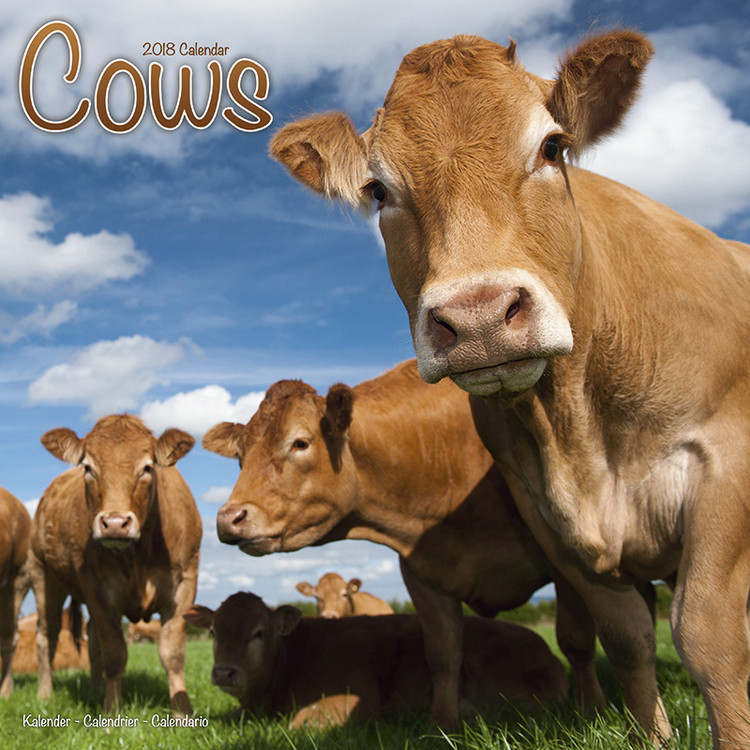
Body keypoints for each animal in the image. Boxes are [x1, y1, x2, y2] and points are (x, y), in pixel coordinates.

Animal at [29, 414, 201, 714]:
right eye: (88, 467)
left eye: (147, 467)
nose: (115, 523)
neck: (138, 559)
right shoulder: (96, 589)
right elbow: (114, 653)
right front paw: (111, 712)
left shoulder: (185, 584)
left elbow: (172, 653)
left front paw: (183, 712)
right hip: (43, 576)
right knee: (46, 636)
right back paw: (45, 694)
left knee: (90, 636)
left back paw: (96, 690)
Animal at [269, 29, 750, 748]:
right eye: (378, 190)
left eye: (552, 147)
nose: (478, 318)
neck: (582, 428)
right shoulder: (546, 514)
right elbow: (626, 637)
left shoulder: (726, 465)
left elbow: (708, 635)